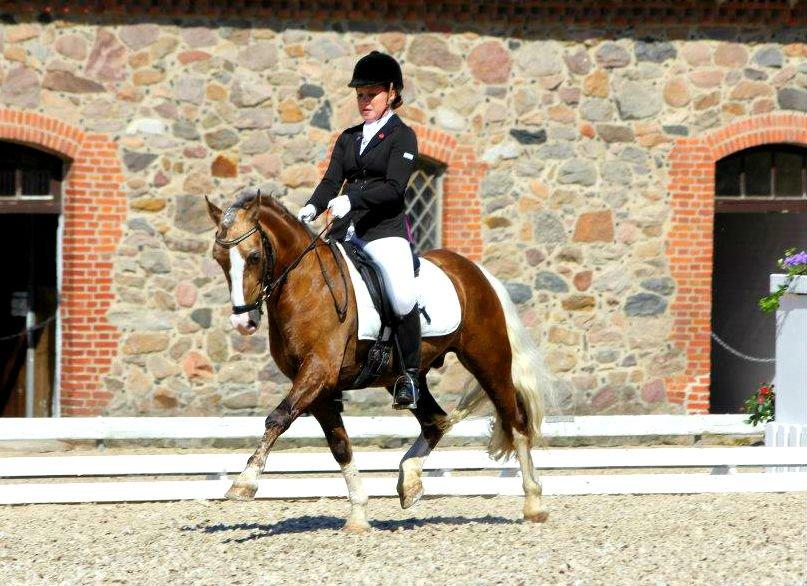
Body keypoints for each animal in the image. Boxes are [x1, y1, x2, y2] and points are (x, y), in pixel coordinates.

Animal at [205, 189, 553, 531]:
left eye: (254, 256)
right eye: (218, 259)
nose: (243, 322)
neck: (307, 285)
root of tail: (474, 272)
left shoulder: (318, 373)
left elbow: (277, 418)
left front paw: (244, 482)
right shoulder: (317, 388)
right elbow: (339, 445)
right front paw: (358, 514)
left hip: (488, 360)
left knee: (514, 420)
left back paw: (534, 504)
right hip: (405, 376)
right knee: (435, 421)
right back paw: (409, 481)